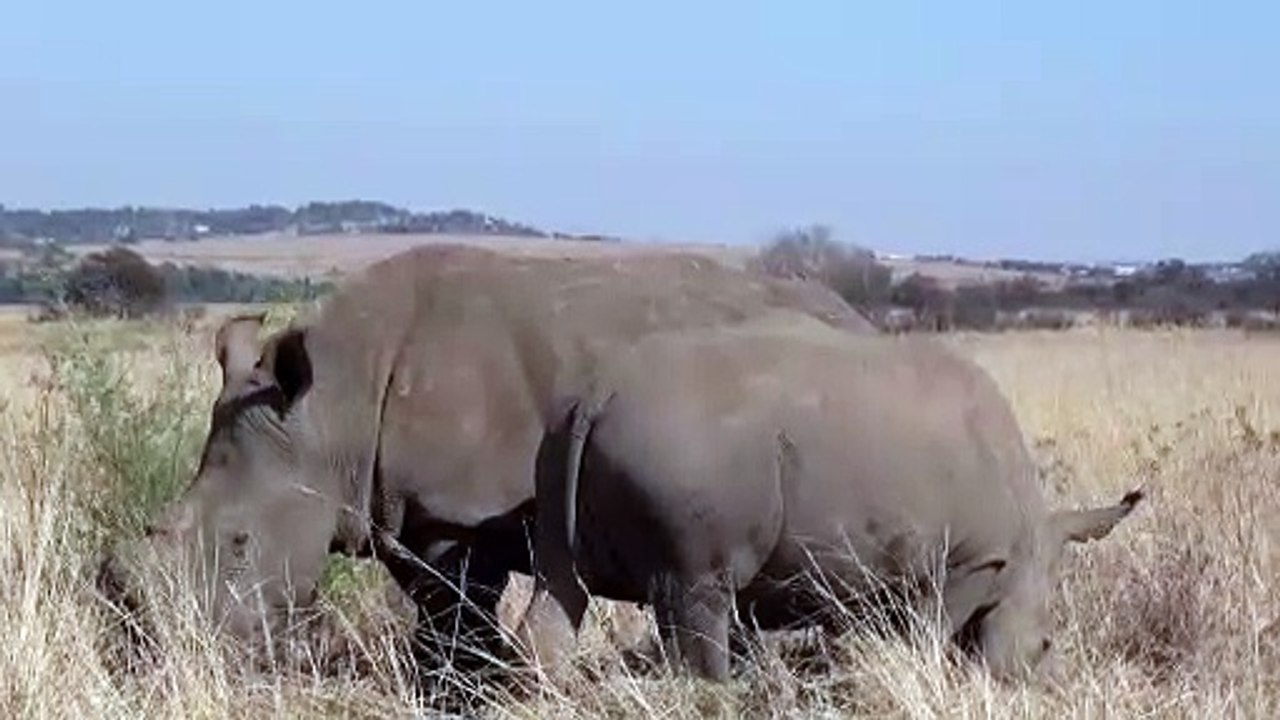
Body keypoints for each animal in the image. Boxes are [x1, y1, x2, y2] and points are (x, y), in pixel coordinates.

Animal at [99, 244, 878, 666]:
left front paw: (470, 687)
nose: (147, 649)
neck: (332, 412)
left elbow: (457, 623)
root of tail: (857, 315)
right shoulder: (399, 510)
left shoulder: (458, 518)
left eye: (238, 543)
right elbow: (435, 620)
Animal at [514, 311, 1142, 682]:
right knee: (699, 596)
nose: (1051, 687)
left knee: (559, 583)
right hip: (682, 447)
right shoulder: (970, 561)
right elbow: (929, 631)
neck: (1032, 539)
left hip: (557, 437)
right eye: (1044, 646)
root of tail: (601, 392)